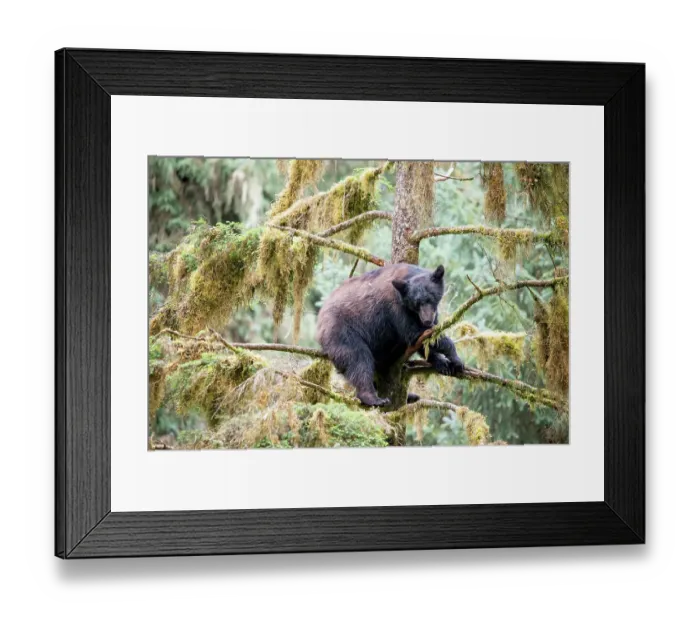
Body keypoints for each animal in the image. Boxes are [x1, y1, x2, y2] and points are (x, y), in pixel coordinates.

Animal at [316, 263, 464, 407]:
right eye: (416, 303)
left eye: (430, 298)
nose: (427, 321)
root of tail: (320, 319)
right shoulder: (396, 309)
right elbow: (415, 333)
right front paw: (457, 360)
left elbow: (426, 341)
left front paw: (442, 363)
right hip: (343, 331)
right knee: (358, 360)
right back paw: (374, 398)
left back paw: (410, 396)